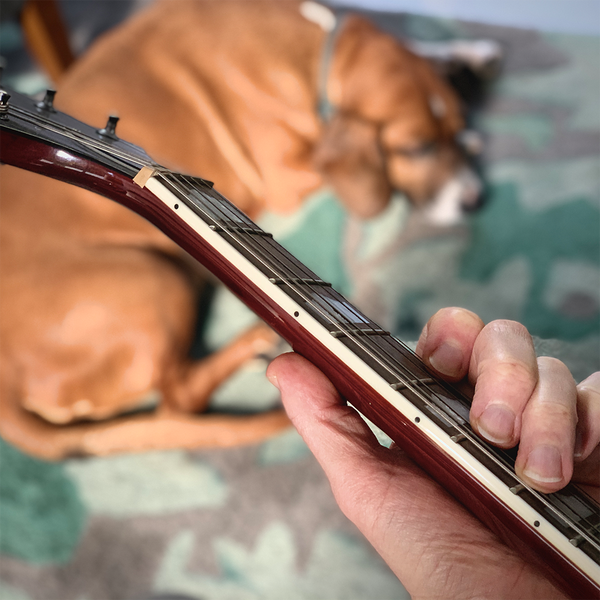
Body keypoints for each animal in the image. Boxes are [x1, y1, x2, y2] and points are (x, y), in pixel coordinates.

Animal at [0, 0, 478, 460]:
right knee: (180, 399)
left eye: (455, 131)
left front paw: (466, 57)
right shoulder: (288, 175)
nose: (474, 199)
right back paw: (252, 341)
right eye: (416, 148)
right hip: (157, 280)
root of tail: (7, 375)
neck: (319, 53)